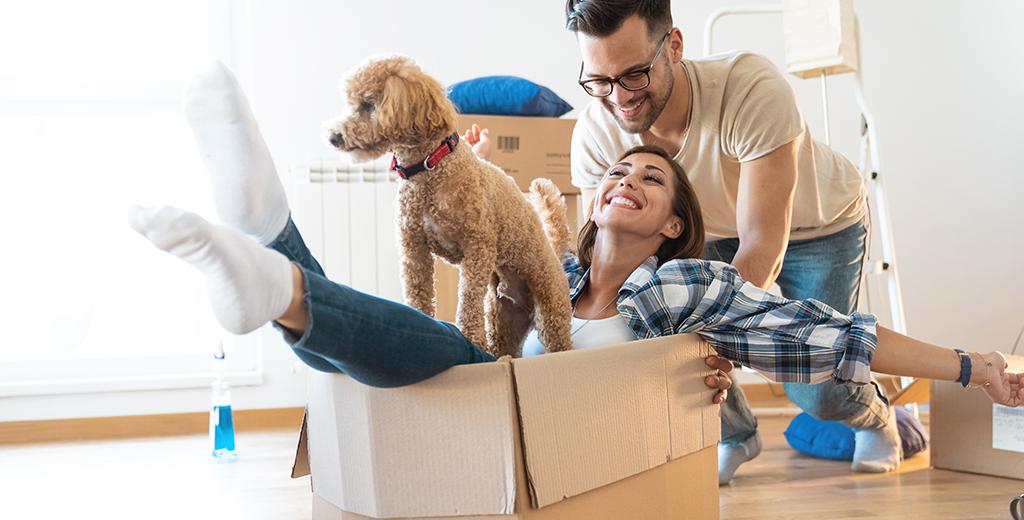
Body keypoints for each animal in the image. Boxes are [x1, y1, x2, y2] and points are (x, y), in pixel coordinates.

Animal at [323, 55, 573, 358]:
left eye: (368, 105)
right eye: (351, 103)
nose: (333, 137)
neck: (429, 167)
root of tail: (554, 254)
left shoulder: (478, 248)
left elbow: (468, 299)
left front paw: (471, 338)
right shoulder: (414, 248)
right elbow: (418, 292)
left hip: (551, 310)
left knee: (559, 343)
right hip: (504, 319)